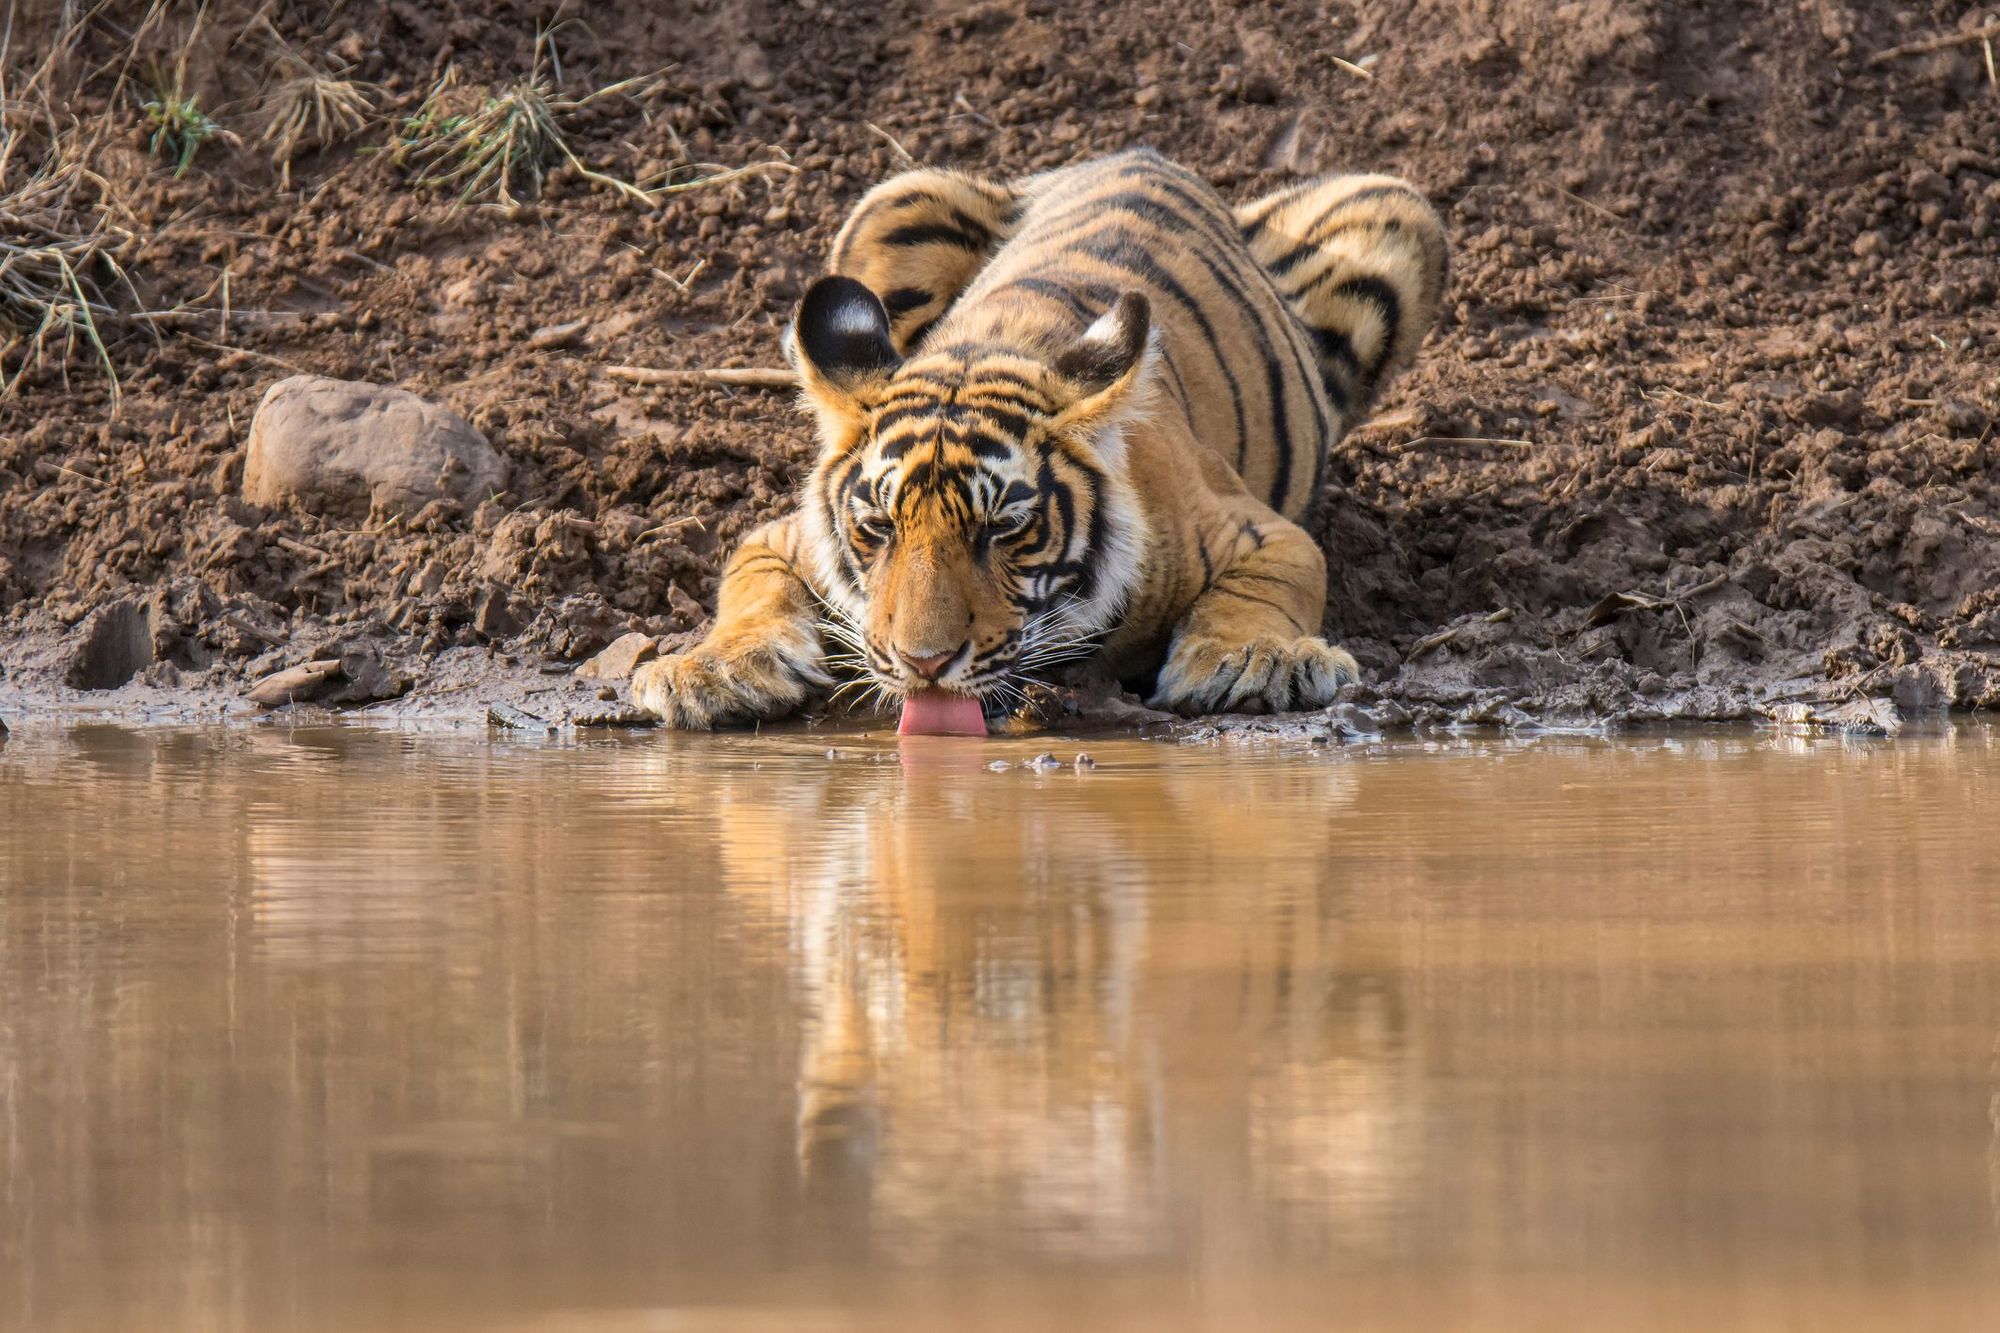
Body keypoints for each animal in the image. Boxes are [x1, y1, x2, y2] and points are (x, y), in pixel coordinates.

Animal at [632, 148, 1448, 728]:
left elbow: (1270, 583)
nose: (924, 664)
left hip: (1394, 210)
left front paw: (1252, 659)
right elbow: (748, 581)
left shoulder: (1259, 530)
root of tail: (1146, 154)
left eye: (1002, 529)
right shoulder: (782, 535)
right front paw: (714, 671)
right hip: (894, 202)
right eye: (878, 528)